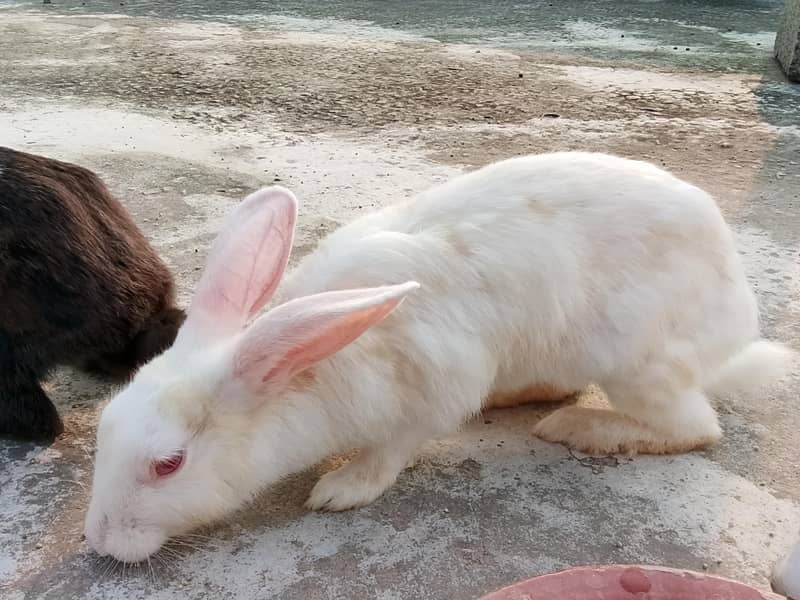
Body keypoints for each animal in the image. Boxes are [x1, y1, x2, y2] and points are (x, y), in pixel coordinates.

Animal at [84, 152, 795, 563]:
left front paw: (341, 489)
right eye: (107, 425)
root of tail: (738, 321)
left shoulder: (432, 390)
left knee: (695, 428)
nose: (97, 540)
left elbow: (391, 451)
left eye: (169, 464)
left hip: (637, 364)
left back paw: (584, 429)